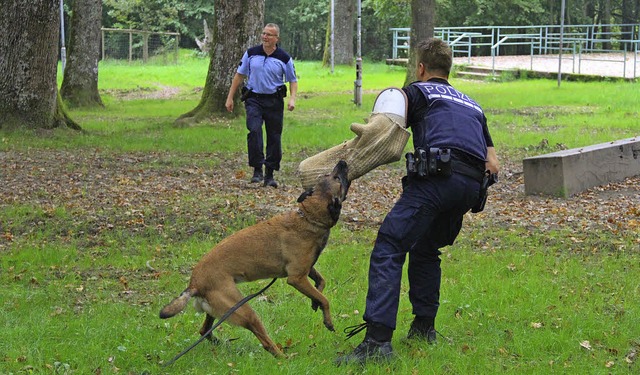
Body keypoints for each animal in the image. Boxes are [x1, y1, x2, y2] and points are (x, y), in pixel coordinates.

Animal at [159, 161, 350, 358]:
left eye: (331, 175)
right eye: (336, 178)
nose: (342, 162)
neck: (309, 217)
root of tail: (194, 283)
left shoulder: (306, 270)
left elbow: (321, 284)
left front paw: (314, 302)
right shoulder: (297, 278)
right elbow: (325, 299)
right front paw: (327, 319)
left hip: (219, 309)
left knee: (204, 330)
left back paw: (222, 344)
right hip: (242, 310)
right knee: (264, 340)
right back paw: (282, 357)